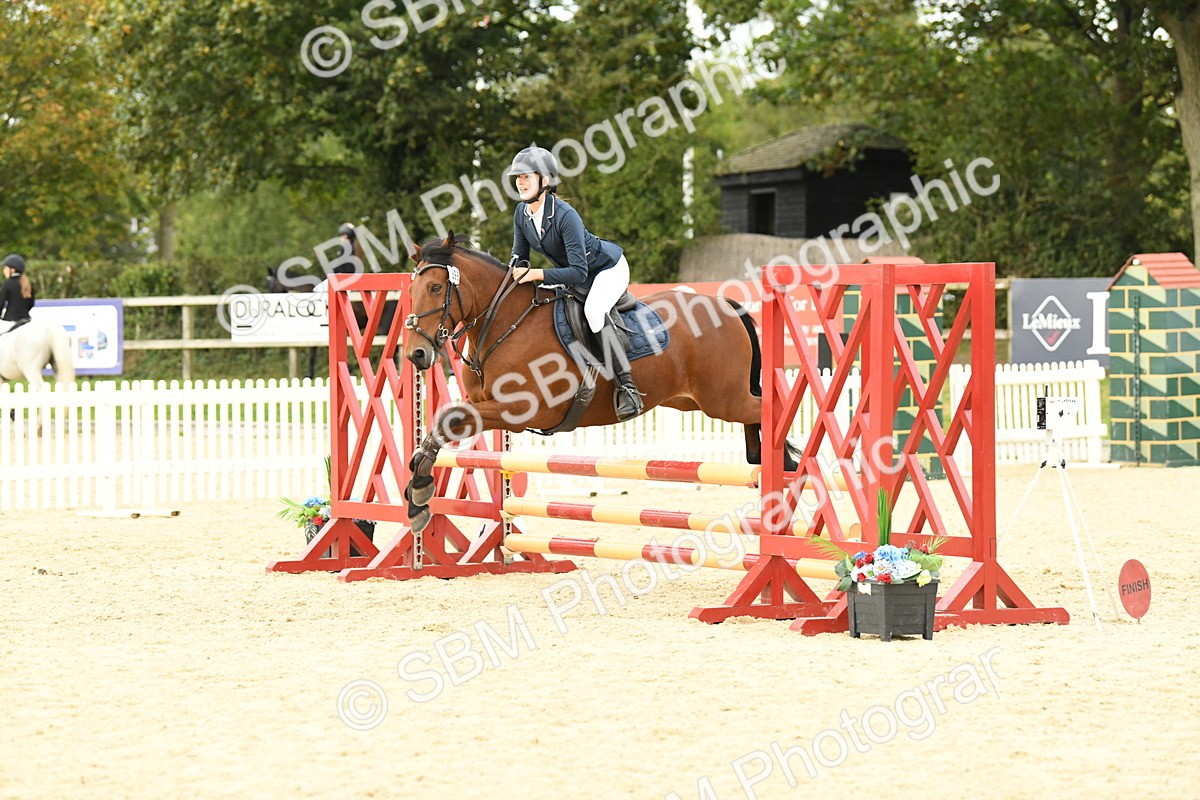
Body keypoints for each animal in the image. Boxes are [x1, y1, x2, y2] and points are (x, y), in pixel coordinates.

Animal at [401, 232, 800, 533]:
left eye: (435, 287)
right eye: (412, 289)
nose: (416, 354)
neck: (503, 322)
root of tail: (725, 304)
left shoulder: (519, 410)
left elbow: (447, 420)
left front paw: (419, 494)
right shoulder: (483, 403)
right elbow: (444, 421)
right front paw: (418, 489)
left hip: (723, 400)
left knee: (767, 411)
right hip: (697, 400)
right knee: (756, 421)